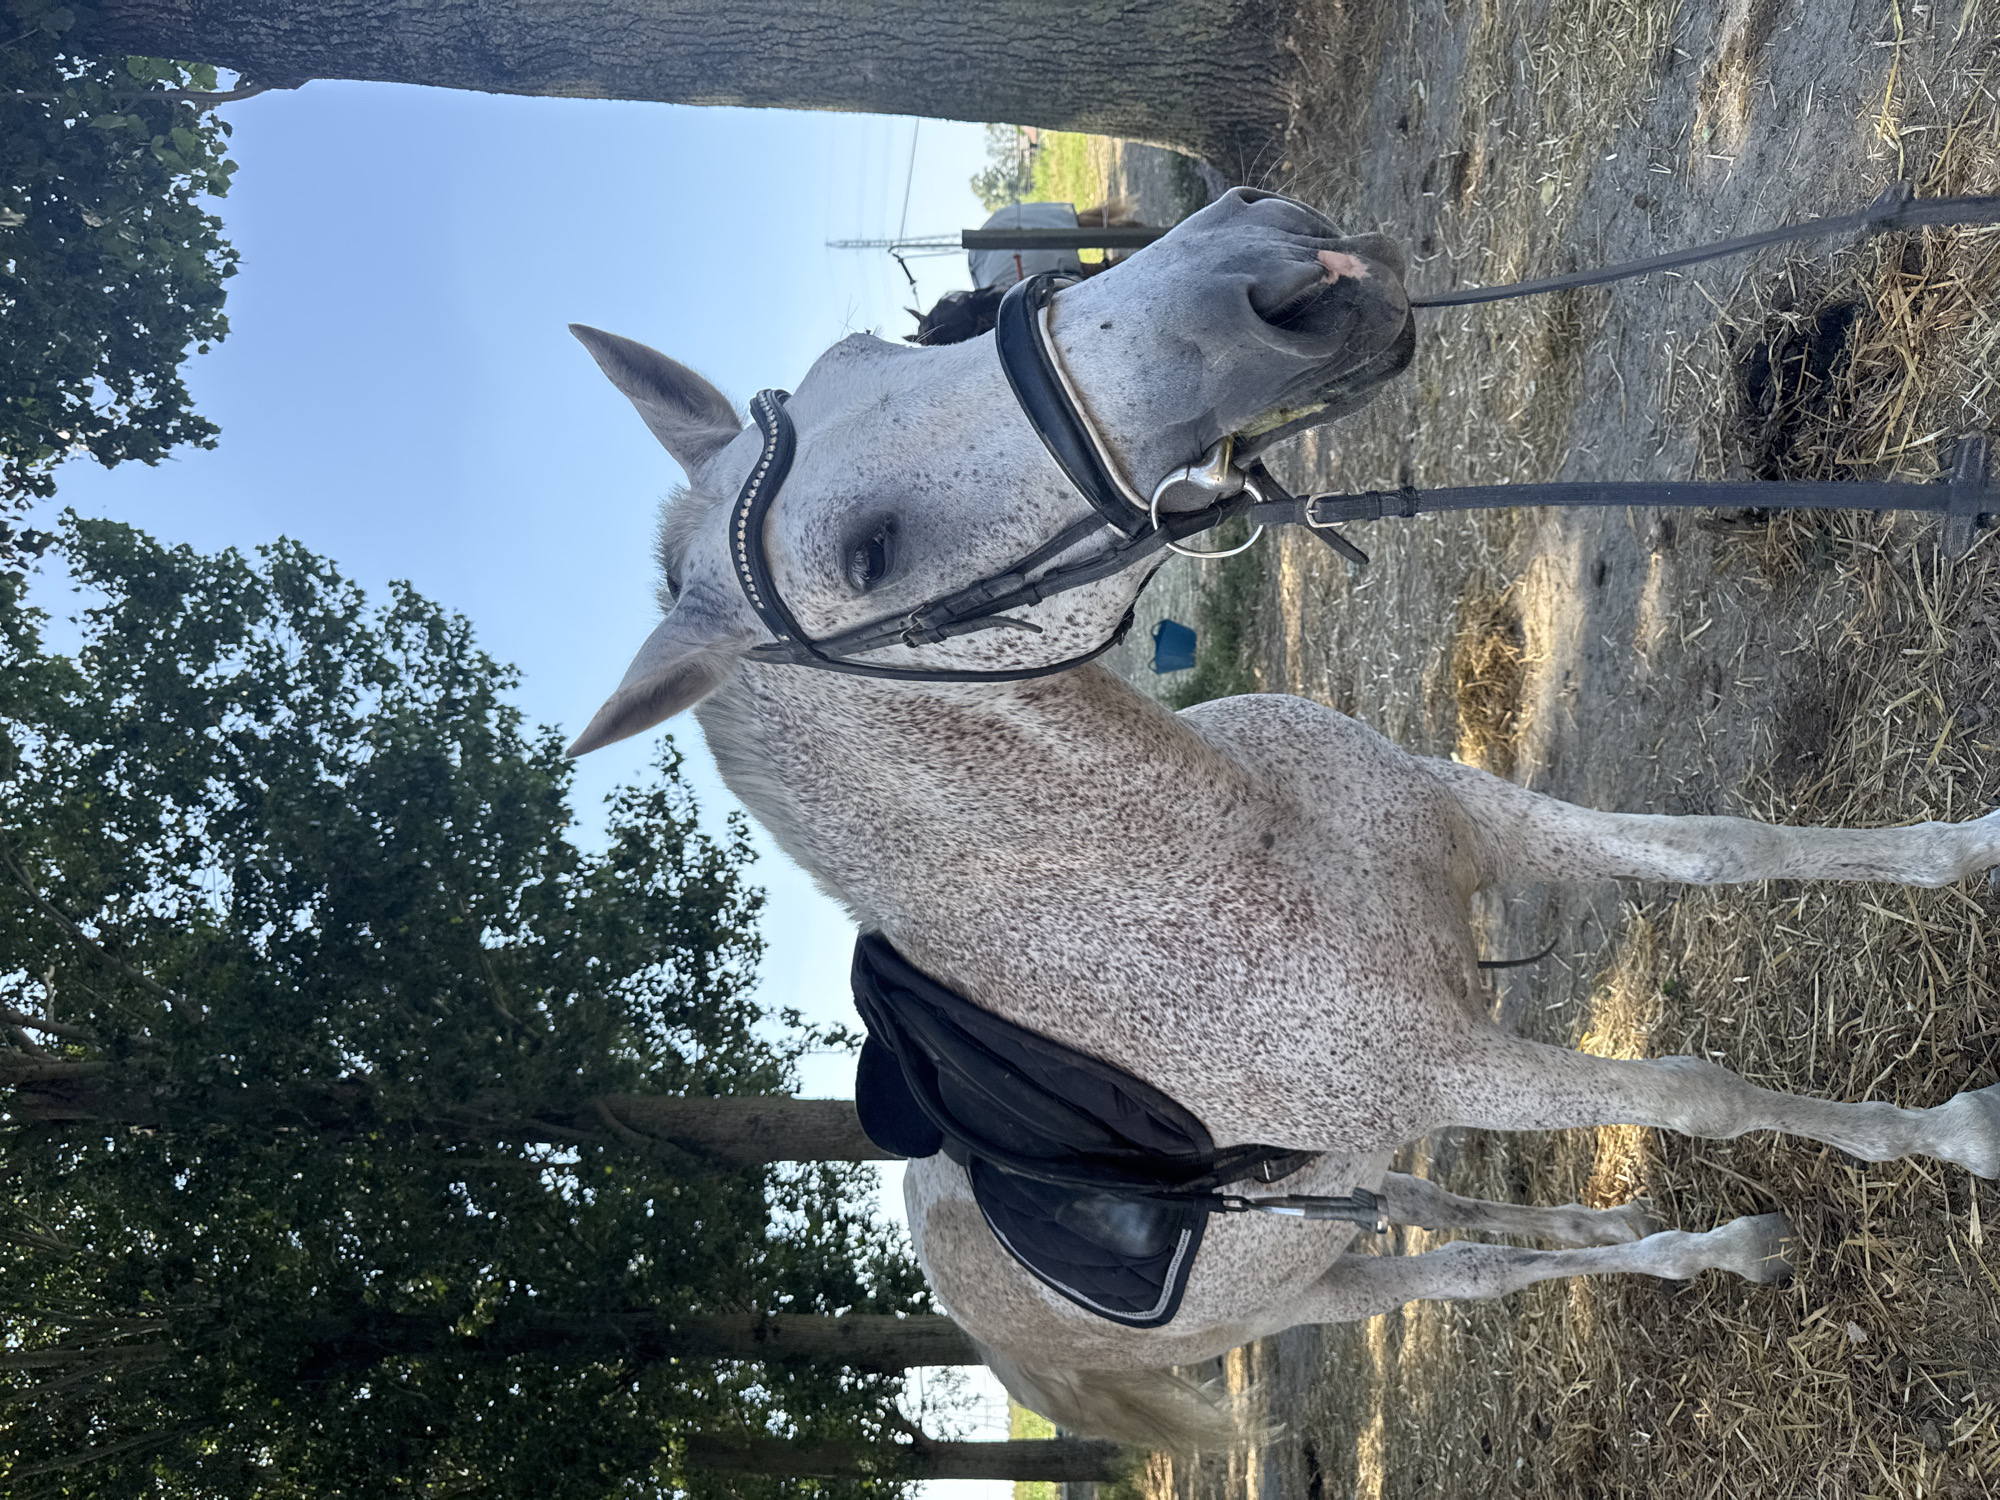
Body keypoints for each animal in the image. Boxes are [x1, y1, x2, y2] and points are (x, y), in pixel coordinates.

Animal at [563, 188, 2000, 1449]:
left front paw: (1974, 847)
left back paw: (1619, 1236)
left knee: (1436, 1202)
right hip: (1329, 1284)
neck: (1202, 850)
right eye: (871, 552)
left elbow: (1726, 847)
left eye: (886, 350)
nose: (1270, 265)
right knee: (1469, 1273)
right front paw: (1953, 1136)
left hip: (1336, 1195)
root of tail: (984, 1323)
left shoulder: (1478, 818)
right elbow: (1701, 1093)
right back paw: (1704, 1249)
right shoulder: (1456, 1063)